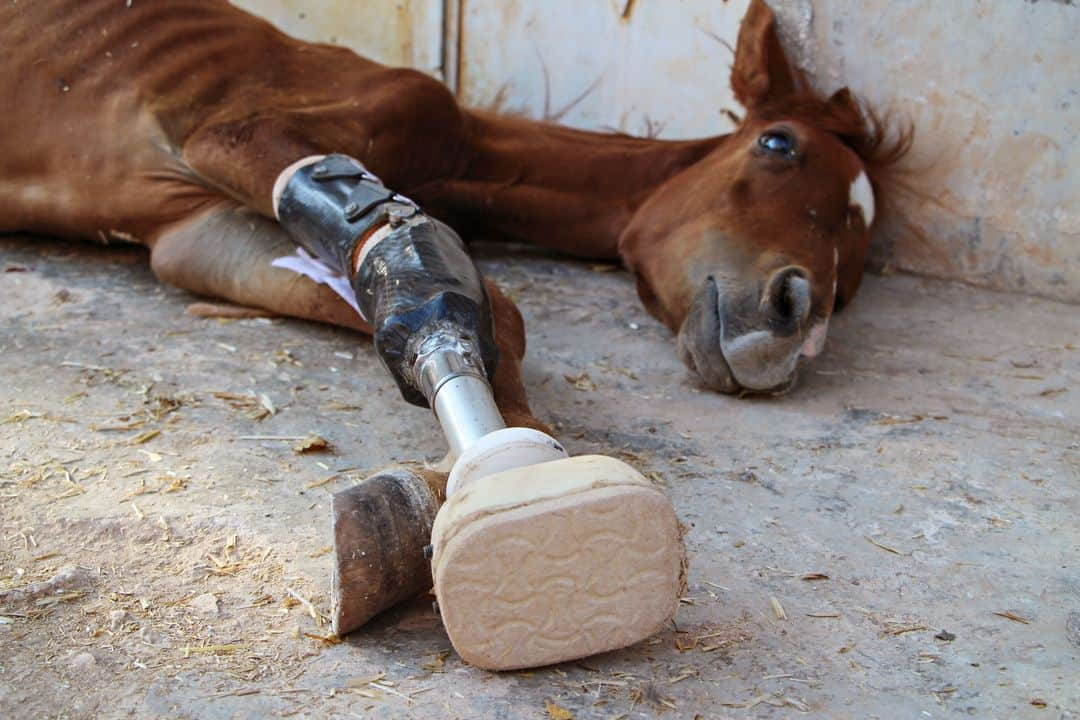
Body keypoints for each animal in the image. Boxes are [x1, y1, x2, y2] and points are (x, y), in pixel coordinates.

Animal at [0, 0, 907, 427]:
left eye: (857, 281)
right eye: (779, 144)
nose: (796, 319)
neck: (463, 153)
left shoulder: (197, 236)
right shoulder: (237, 134)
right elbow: (492, 306)